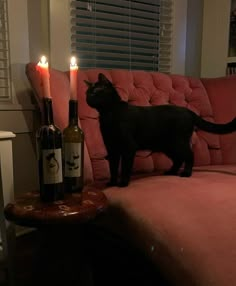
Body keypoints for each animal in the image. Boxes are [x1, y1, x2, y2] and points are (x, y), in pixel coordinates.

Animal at [85, 72, 236, 187]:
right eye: (87, 92)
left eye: (96, 91)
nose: (87, 98)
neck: (108, 114)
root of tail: (189, 111)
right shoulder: (112, 149)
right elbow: (113, 168)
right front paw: (112, 183)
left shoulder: (128, 147)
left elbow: (126, 168)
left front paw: (123, 183)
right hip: (168, 146)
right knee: (178, 159)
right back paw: (171, 172)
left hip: (178, 143)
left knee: (189, 155)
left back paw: (186, 173)